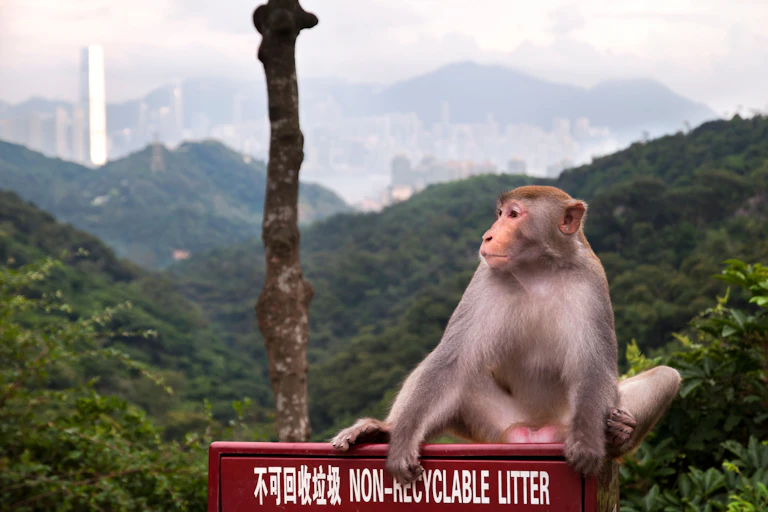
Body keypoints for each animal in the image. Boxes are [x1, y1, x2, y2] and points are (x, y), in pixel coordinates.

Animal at [331, 185, 681, 484]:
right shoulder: (485, 278)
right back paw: (384, 431)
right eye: (500, 213)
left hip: (566, 422)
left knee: (667, 376)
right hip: (494, 426)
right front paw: (402, 442)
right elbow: (451, 361)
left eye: (514, 214)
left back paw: (618, 433)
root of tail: (537, 431)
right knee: (456, 372)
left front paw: (588, 445)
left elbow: (594, 368)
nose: (487, 235)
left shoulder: (592, 281)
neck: (539, 271)